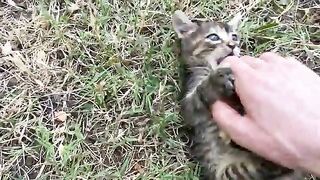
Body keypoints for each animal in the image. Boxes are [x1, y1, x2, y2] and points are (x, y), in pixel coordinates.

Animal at [172, 10, 304, 179]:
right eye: (213, 37)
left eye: (234, 37)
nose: (233, 45)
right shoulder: (189, 102)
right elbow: (199, 94)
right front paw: (216, 81)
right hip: (229, 172)